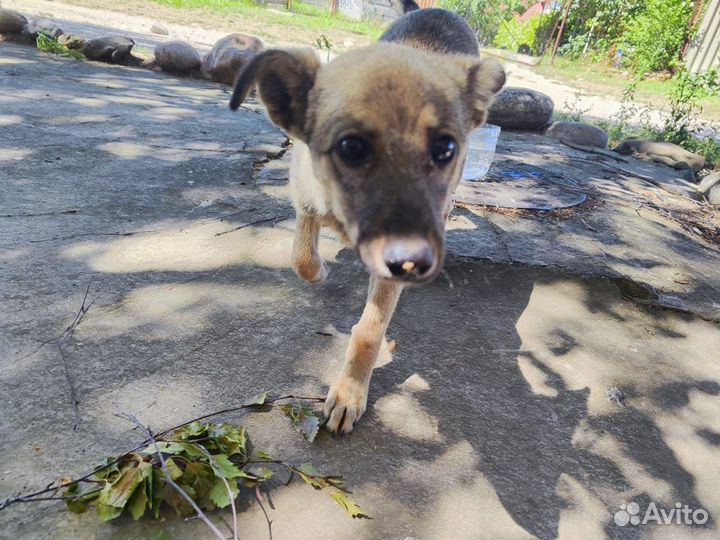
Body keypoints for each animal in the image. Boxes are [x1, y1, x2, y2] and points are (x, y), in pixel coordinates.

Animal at [231, 6, 506, 434]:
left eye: (445, 149)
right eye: (351, 148)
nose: (416, 257)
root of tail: (434, 9)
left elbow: (369, 331)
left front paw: (349, 393)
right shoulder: (305, 195)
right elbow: (302, 257)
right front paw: (320, 269)